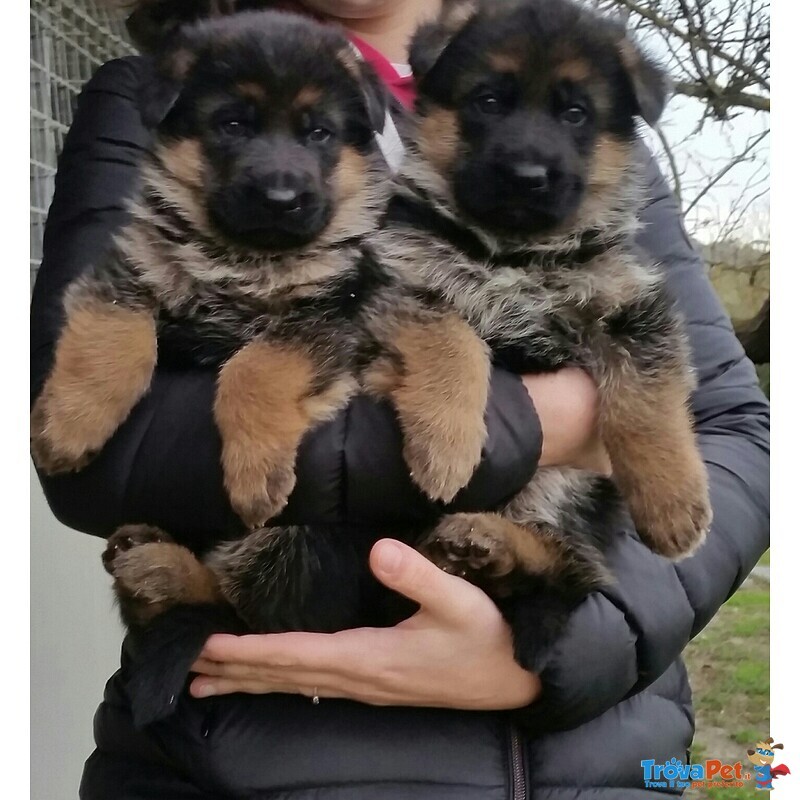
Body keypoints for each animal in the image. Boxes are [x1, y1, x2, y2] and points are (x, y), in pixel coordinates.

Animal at [376, 0, 712, 664]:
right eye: (488, 101)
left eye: (575, 114)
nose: (527, 175)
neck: (516, 252)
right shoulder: (407, 280)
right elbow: (452, 343)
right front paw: (445, 446)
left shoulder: (632, 306)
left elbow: (647, 403)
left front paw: (672, 502)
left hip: (569, 490)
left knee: (567, 566)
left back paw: (490, 544)